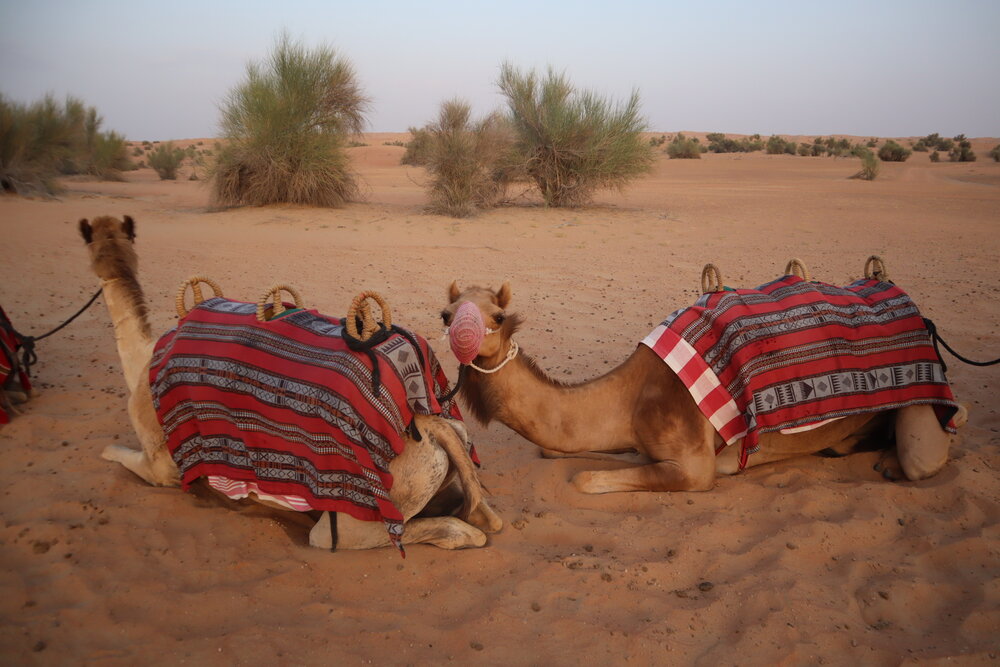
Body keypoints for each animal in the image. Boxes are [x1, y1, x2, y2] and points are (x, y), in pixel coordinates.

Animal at [79, 214, 501, 550]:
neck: (143, 360)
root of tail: (427, 424)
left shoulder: (161, 464)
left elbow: (114, 453)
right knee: (469, 514)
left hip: (366, 510)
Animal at [442, 281, 966, 494]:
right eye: (446, 314)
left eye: (497, 317)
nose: (462, 334)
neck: (629, 397)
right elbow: (561, 453)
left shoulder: (695, 465)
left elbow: (585, 478)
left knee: (924, 458)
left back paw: (890, 462)